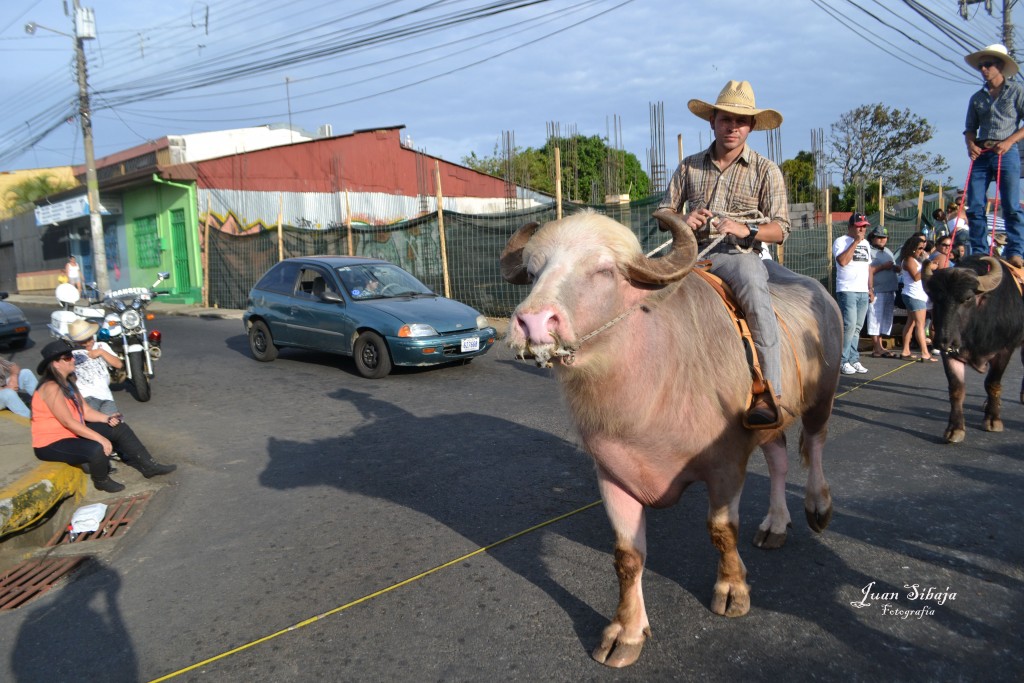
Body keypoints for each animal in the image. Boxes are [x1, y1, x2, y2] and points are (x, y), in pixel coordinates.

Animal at [499, 208, 843, 667]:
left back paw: (817, 508)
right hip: (773, 418)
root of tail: (820, 292)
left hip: (823, 395)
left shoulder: (726, 463)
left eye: (604, 270)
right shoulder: (613, 474)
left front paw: (731, 590)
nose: (532, 322)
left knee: (817, 444)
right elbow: (627, 557)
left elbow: (721, 530)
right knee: (779, 459)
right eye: (534, 271)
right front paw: (626, 631)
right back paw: (775, 523)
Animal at [921, 254, 1024, 444]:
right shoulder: (950, 353)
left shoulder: (1004, 350)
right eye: (935, 297)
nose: (942, 339)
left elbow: (992, 383)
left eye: (968, 298)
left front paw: (993, 419)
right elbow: (956, 389)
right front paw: (955, 429)